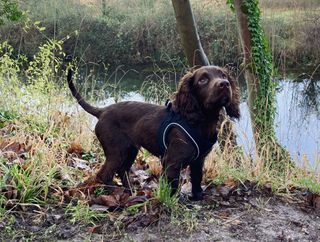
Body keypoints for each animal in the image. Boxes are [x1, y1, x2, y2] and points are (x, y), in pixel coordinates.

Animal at [67, 66, 239, 200]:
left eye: (223, 76)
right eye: (202, 80)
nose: (224, 84)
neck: (199, 120)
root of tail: (102, 111)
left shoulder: (199, 160)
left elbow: (197, 179)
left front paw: (198, 197)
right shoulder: (172, 161)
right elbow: (172, 186)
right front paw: (172, 203)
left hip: (130, 150)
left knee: (122, 170)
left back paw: (131, 191)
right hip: (116, 151)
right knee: (104, 175)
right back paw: (115, 192)